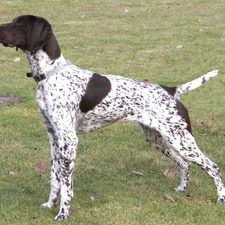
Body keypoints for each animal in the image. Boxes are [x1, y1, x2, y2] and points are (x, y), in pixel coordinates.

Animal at [0, 15, 224, 220]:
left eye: (20, 23)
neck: (50, 73)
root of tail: (171, 90)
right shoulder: (54, 138)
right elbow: (55, 177)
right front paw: (50, 204)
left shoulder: (69, 140)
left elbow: (66, 183)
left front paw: (63, 213)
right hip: (158, 139)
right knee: (184, 164)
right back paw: (181, 189)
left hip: (181, 140)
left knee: (213, 166)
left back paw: (220, 199)